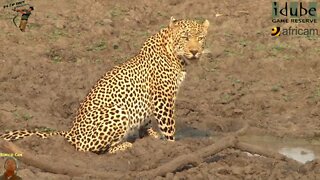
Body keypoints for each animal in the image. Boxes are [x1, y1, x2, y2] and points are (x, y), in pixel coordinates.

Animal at [0, 17, 210, 153]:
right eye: (185, 37)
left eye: (200, 38)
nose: (195, 51)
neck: (175, 54)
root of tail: (71, 132)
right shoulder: (163, 97)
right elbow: (169, 127)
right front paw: (174, 147)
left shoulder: (151, 101)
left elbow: (147, 120)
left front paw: (150, 137)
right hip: (118, 111)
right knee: (89, 149)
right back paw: (124, 146)